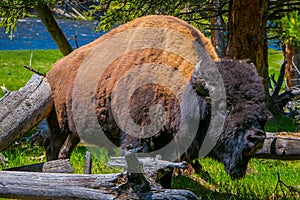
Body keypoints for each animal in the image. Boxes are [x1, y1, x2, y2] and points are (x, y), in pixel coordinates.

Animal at [45, 15, 268, 178]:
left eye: (261, 110)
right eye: (225, 106)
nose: (257, 138)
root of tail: (54, 70)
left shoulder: (169, 146)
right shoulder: (137, 140)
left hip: (74, 130)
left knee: (65, 149)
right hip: (58, 125)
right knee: (51, 145)